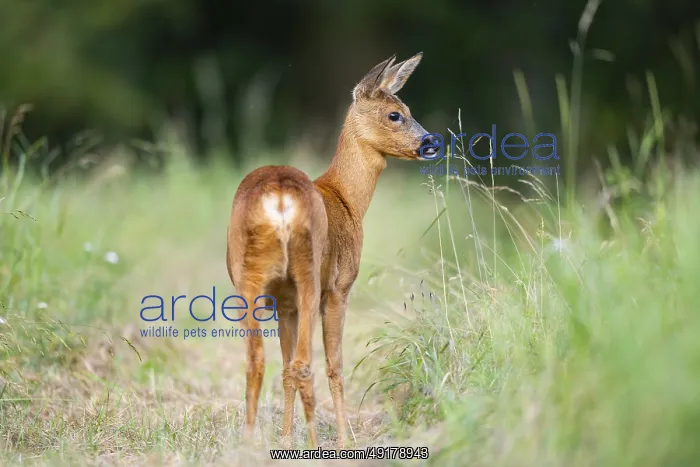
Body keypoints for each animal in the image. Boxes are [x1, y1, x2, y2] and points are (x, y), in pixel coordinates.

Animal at [226, 52, 437, 449]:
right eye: (395, 114)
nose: (432, 142)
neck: (347, 198)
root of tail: (279, 197)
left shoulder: (284, 304)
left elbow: (284, 368)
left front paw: (285, 438)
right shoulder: (340, 287)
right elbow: (335, 366)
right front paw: (342, 439)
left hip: (247, 279)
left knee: (258, 361)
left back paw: (248, 443)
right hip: (309, 275)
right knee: (305, 364)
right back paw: (313, 444)